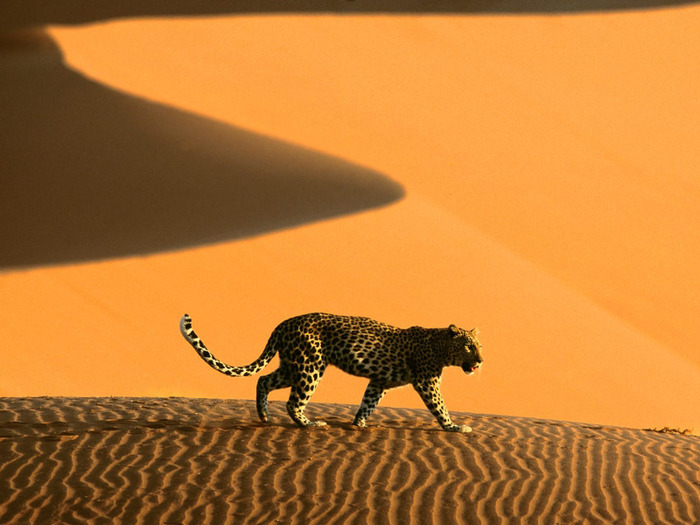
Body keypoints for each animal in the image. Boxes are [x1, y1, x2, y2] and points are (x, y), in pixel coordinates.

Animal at [179, 312, 482, 430]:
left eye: (479, 346)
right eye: (469, 346)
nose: (480, 361)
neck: (441, 347)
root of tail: (283, 323)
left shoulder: (380, 381)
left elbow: (368, 402)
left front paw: (359, 424)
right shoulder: (427, 382)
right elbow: (440, 406)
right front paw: (454, 427)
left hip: (292, 366)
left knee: (264, 380)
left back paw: (264, 417)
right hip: (310, 367)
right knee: (293, 402)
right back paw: (310, 423)